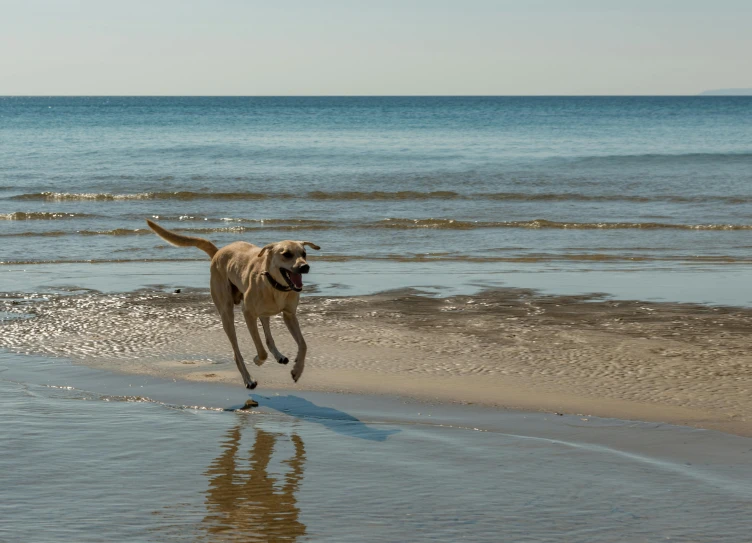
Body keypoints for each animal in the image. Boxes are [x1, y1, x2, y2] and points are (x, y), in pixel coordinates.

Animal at [145, 219, 318, 388]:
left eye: (304, 254)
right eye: (287, 254)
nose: (305, 266)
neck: (274, 285)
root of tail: (218, 252)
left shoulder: (289, 315)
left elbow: (303, 344)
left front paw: (297, 370)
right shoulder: (248, 313)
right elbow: (261, 351)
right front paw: (257, 360)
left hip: (261, 312)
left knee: (268, 335)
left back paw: (278, 356)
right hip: (226, 314)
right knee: (237, 352)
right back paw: (248, 379)